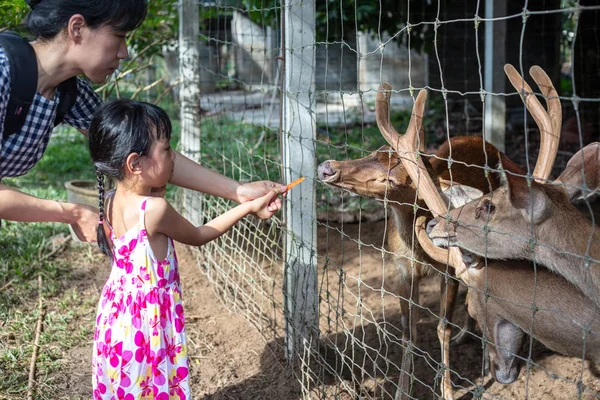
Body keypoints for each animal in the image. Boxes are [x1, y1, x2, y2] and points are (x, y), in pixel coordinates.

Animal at [316, 64, 560, 398]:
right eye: (374, 151)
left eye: (393, 180)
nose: (326, 167)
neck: (418, 254)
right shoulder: (401, 269)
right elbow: (408, 332)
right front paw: (402, 390)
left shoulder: (449, 271)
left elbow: (442, 326)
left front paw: (447, 389)